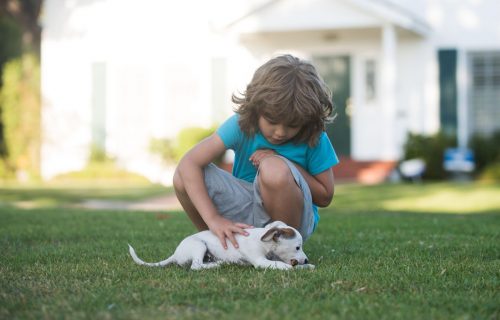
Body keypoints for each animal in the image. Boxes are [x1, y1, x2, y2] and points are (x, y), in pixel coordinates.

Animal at [129, 220, 316, 270]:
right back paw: (218, 264)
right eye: (298, 247)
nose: (306, 260)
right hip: (199, 245)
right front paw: (291, 268)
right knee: (196, 266)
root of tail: (175, 254)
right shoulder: (260, 261)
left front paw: (307, 267)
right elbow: (280, 264)